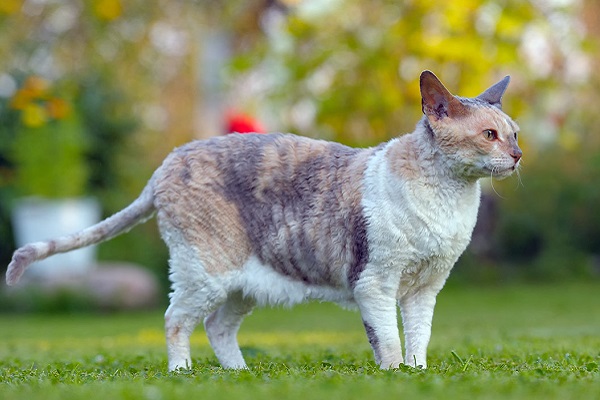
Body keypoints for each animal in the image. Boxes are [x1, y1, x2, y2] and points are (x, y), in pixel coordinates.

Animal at [3, 71, 520, 372]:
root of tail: (169, 161)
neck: (449, 202)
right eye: (489, 136)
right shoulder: (375, 282)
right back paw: (182, 374)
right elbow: (387, 342)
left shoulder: (424, 289)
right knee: (175, 320)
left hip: (241, 284)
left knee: (216, 326)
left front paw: (417, 373)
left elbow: (417, 339)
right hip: (204, 270)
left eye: (514, 134)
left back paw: (240, 375)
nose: (518, 156)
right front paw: (395, 377)